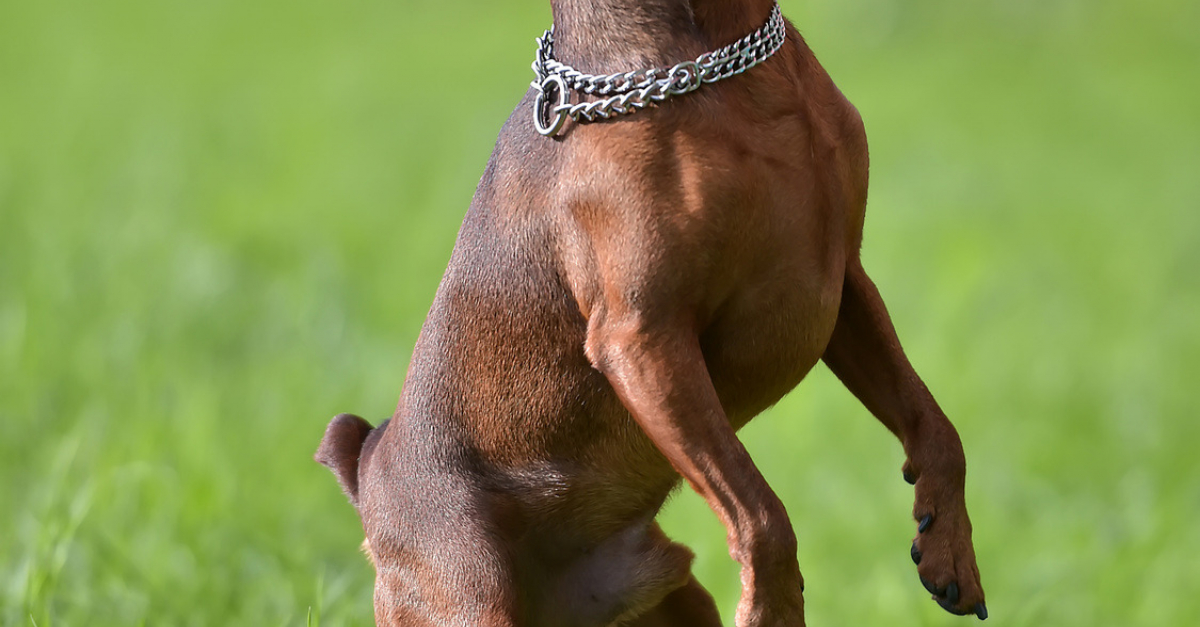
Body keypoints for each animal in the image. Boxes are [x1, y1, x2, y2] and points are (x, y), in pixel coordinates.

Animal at [316, 2, 984, 619]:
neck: (712, 58)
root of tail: (366, 471)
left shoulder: (844, 284)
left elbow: (937, 427)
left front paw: (949, 547)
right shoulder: (642, 337)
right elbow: (761, 514)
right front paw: (772, 611)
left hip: (673, 598)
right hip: (470, 592)